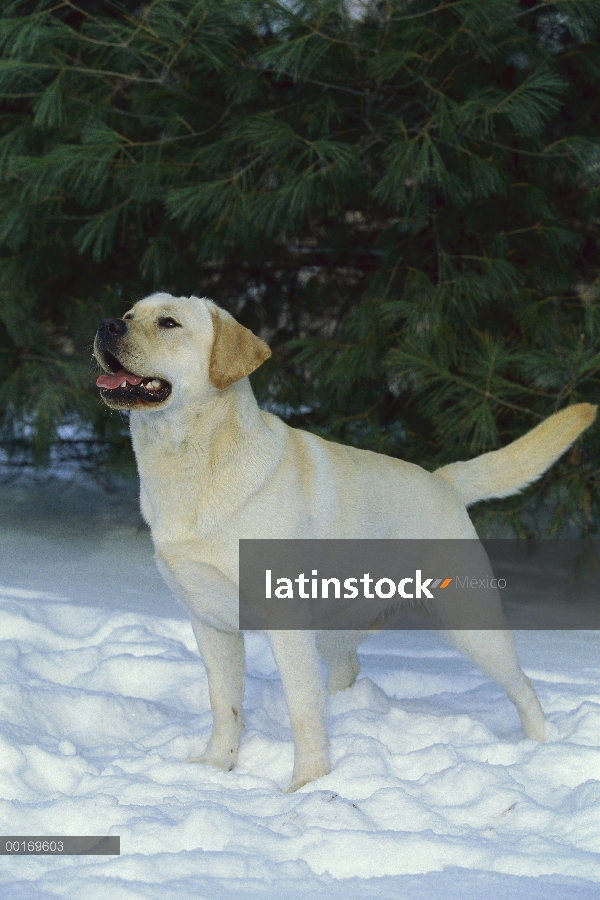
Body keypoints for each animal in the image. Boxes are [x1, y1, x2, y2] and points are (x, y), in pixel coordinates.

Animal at [95, 294, 596, 788]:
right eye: (129, 314)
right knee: (347, 671)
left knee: (524, 687)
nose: (106, 325)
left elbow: (302, 712)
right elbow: (226, 708)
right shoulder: (210, 623)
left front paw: (307, 785)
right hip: (336, 626)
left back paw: (537, 748)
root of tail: (444, 481)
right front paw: (217, 769)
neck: (190, 466)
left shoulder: (285, 624)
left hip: (472, 624)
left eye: (169, 323)